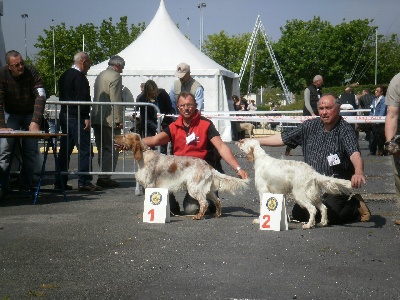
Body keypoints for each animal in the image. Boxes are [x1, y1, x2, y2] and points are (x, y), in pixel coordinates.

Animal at [114, 134, 248, 220]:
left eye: (124, 136)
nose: (114, 136)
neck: (143, 156)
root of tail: (208, 166)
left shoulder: (150, 185)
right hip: (207, 189)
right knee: (217, 200)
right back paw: (217, 214)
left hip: (194, 187)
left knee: (204, 203)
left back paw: (198, 216)